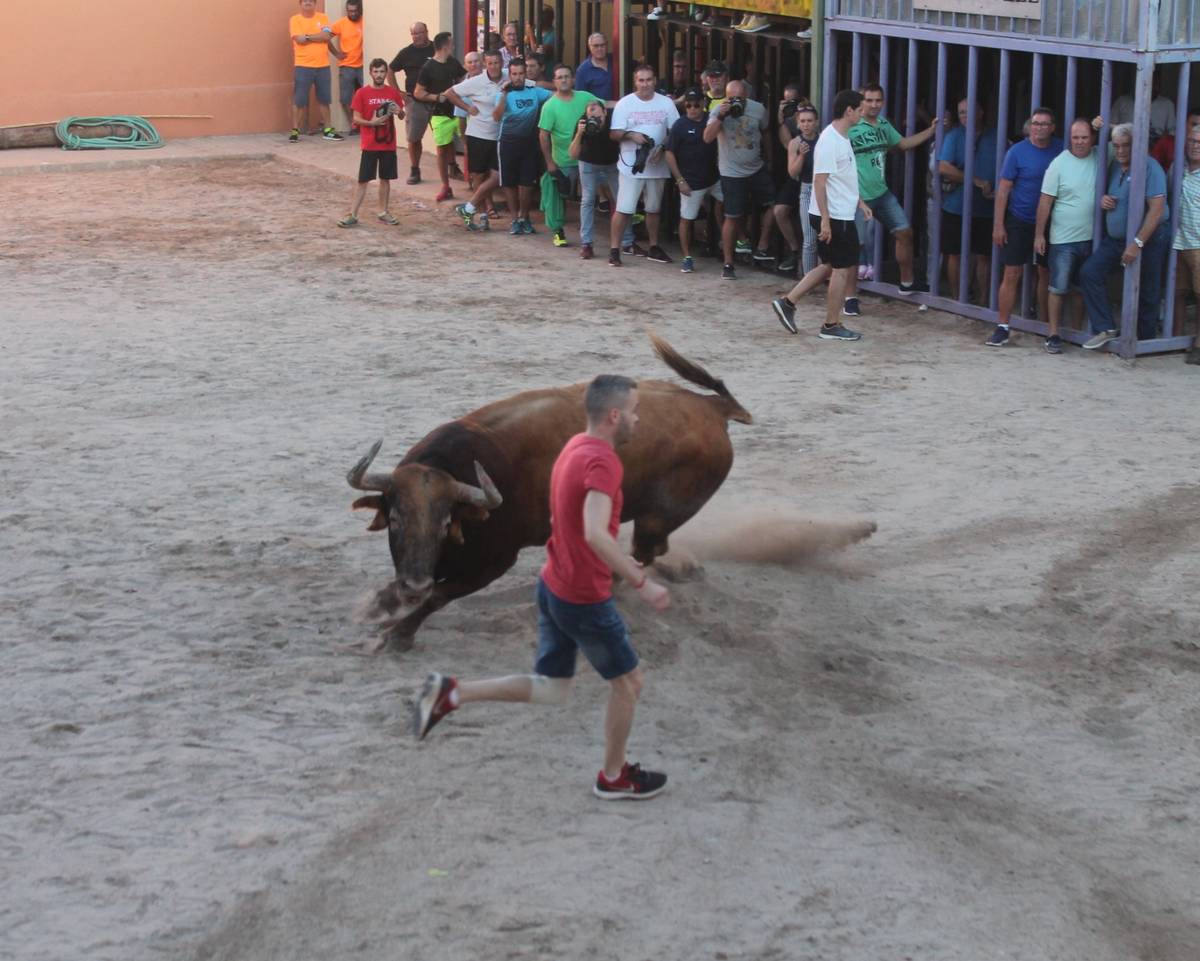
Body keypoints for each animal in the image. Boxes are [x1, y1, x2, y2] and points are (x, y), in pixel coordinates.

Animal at [348, 333, 748, 647]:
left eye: (446, 522)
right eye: (395, 519)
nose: (414, 585)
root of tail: (713, 408)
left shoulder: (496, 561)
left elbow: (439, 596)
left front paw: (398, 635)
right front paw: (380, 608)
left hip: (657, 518)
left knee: (645, 553)